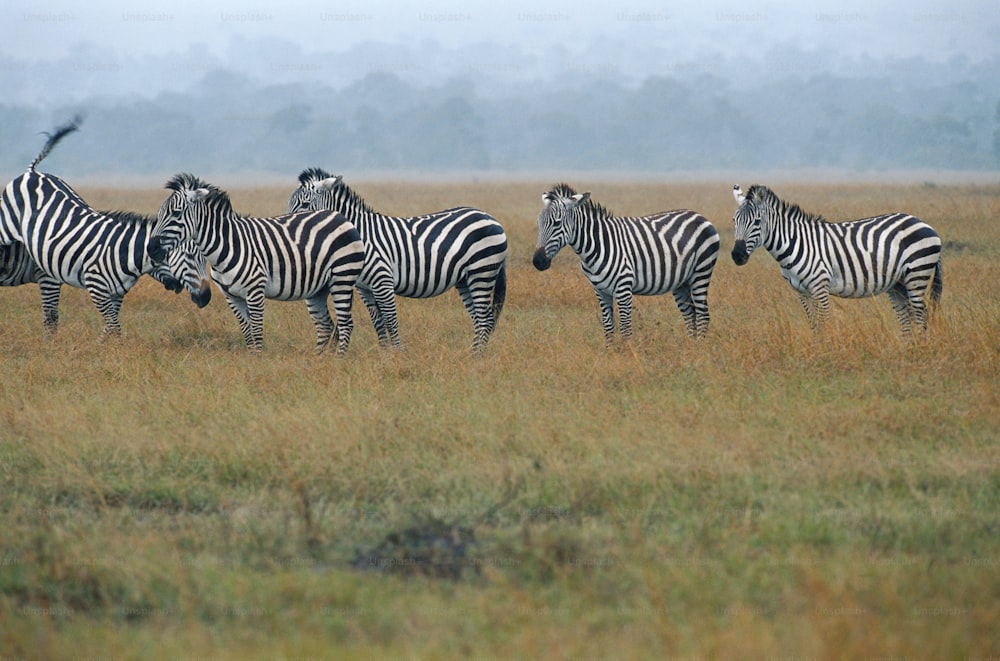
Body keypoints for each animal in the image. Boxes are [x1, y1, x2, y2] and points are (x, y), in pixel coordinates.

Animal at [0, 116, 213, 338]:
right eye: (190, 257)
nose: (206, 298)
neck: (125, 252)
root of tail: (32, 172)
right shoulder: (93, 286)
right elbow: (113, 328)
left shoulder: (116, 294)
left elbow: (110, 328)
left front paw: (104, 344)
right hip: (7, 229)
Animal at [146, 173, 366, 354]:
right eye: (160, 213)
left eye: (176, 213)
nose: (151, 248)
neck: (227, 245)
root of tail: (338, 215)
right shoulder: (232, 297)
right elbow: (247, 333)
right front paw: (252, 360)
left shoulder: (255, 291)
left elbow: (257, 332)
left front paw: (259, 362)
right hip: (318, 289)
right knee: (324, 325)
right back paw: (319, 361)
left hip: (342, 277)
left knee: (346, 324)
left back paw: (339, 360)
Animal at [288, 169, 508, 350]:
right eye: (289, 204)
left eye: (305, 205)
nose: (289, 226)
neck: (358, 235)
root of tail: (491, 218)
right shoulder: (364, 288)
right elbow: (378, 322)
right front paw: (385, 355)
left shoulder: (382, 280)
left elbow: (391, 320)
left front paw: (399, 355)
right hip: (465, 279)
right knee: (478, 319)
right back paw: (472, 354)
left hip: (482, 271)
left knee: (485, 318)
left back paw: (477, 357)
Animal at [532, 183, 720, 342]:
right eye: (539, 223)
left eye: (557, 223)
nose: (538, 262)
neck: (597, 244)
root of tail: (699, 215)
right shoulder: (600, 291)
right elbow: (608, 327)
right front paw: (611, 355)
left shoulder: (623, 289)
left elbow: (625, 328)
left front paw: (627, 356)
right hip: (682, 282)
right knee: (690, 315)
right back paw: (691, 347)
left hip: (701, 272)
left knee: (703, 315)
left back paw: (699, 349)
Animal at [732, 182, 940, 332]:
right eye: (734, 220)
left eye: (757, 222)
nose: (737, 255)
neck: (795, 242)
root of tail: (922, 222)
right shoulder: (801, 291)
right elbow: (814, 325)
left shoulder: (819, 287)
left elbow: (825, 322)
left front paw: (827, 352)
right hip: (899, 283)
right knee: (907, 317)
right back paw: (908, 349)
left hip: (917, 274)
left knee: (921, 315)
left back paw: (920, 349)